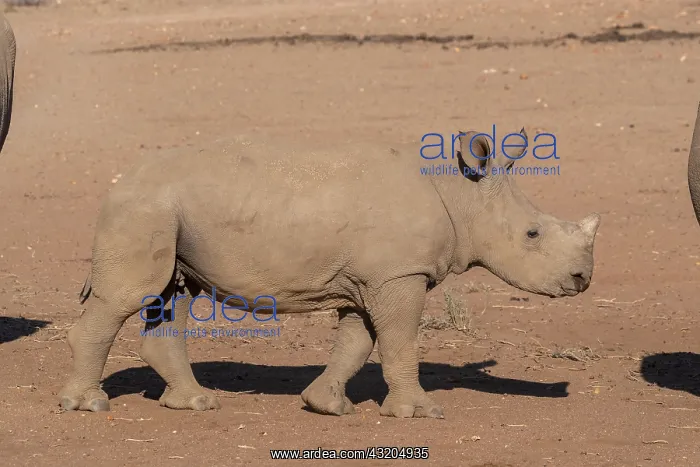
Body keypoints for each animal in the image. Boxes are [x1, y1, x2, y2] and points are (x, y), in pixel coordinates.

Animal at [59, 128, 601, 418]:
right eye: (532, 234)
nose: (582, 280)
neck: (461, 194)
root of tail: (117, 182)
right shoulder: (399, 275)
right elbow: (400, 342)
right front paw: (419, 413)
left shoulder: (372, 280)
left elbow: (357, 344)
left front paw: (327, 406)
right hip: (144, 208)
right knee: (129, 297)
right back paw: (88, 406)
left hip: (166, 212)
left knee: (174, 296)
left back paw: (196, 403)